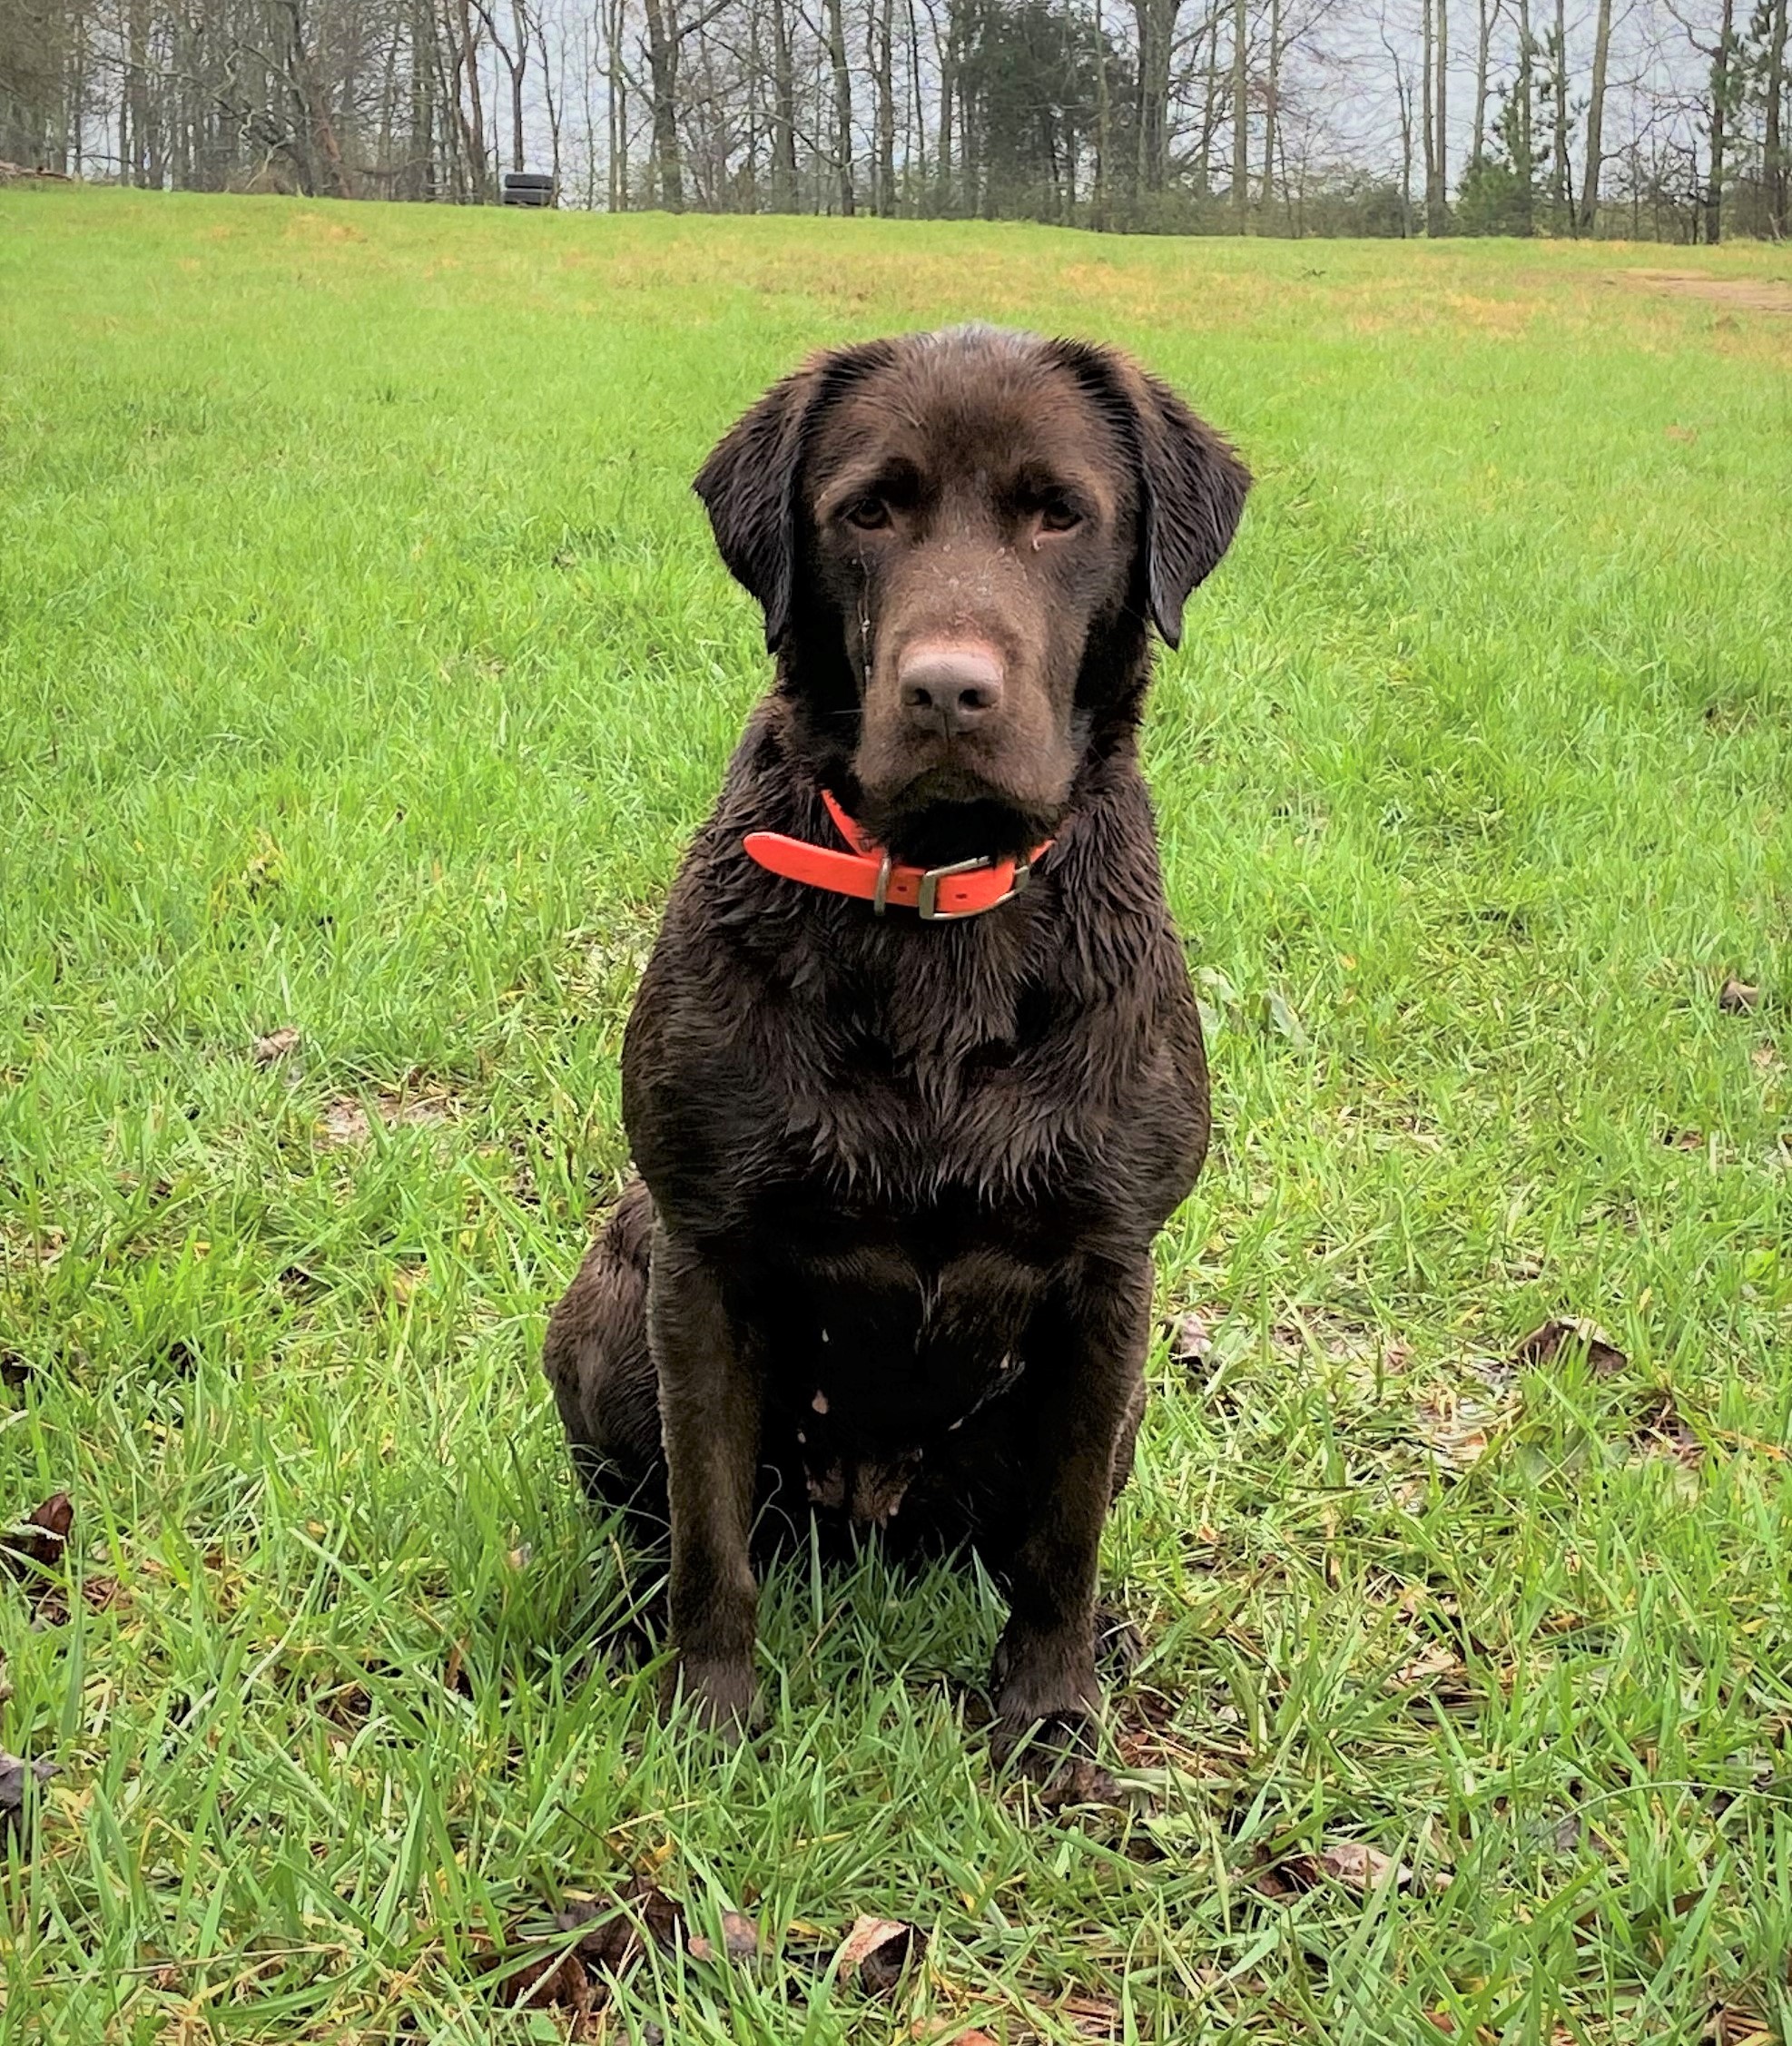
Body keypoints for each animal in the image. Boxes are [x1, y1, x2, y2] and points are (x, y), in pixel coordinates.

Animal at [544, 327, 1244, 1751]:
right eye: (867, 511)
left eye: (1059, 513)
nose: (947, 691)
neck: (937, 904)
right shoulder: (706, 1258)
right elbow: (709, 1539)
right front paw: (711, 1715)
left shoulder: (1109, 1275)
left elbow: (1060, 1544)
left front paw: (1047, 1714)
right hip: (609, 1298)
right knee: (661, 1517)